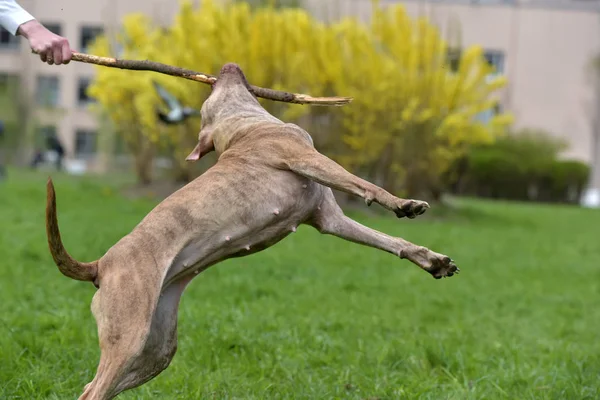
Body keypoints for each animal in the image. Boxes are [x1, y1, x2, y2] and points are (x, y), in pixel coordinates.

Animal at [45, 62, 460, 400]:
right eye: (213, 93)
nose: (226, 64)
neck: (244, 127)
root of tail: (100, 265)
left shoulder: (328, 218)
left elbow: (392, 241)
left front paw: (433, 260)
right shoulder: (308, 158)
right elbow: (366, 185)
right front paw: (405, 204)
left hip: (157, 347)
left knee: (97, 385)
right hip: (129, 334)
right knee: (94, 389)